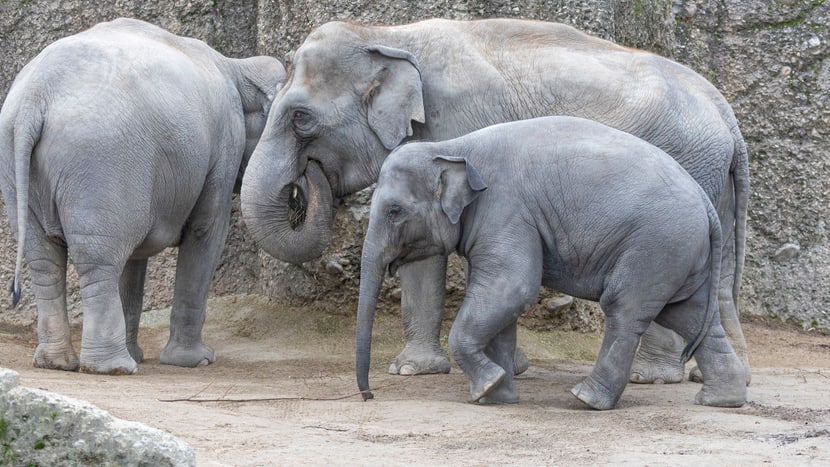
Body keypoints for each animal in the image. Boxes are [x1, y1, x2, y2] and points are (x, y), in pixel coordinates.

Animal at [0, 17, 286, 376]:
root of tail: (35, 96)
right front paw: (197, 361)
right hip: (99, 160)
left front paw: (141, 353)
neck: (237, 67)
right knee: (98, 260)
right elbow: (206, 232)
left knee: (44, 259)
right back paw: (113, 368)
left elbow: (135, 257)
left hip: (17, 162)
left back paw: (58, 363)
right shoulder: (224, 146)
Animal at [354, 117, 752, 410]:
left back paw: (587, 398)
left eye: (394, 211)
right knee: (688, 314)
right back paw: (720, 400)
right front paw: (499, 396)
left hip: (655, 246)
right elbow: (501, 301)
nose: (368, 396)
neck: (452, 147)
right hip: (678, 253)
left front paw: (487, 387)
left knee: (625, 309)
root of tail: (706, 204)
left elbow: (513, 287)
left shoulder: (506, 210)